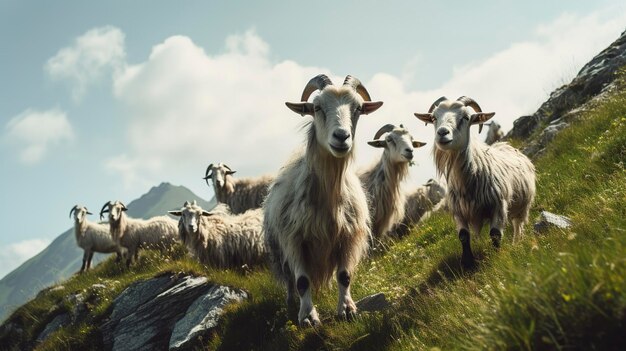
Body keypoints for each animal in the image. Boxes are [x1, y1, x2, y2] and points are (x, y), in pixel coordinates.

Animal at [412, 96, 532, 266]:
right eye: (434, 118)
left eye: (466, 117)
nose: (442, 133)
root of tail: (506, 145)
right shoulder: (459, 211)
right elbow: (463, 236)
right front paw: (467, 262)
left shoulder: (498, 205)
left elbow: (495, 234)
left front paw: (497, 256)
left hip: (523, 205)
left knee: (518, 224)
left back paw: (517, 242)